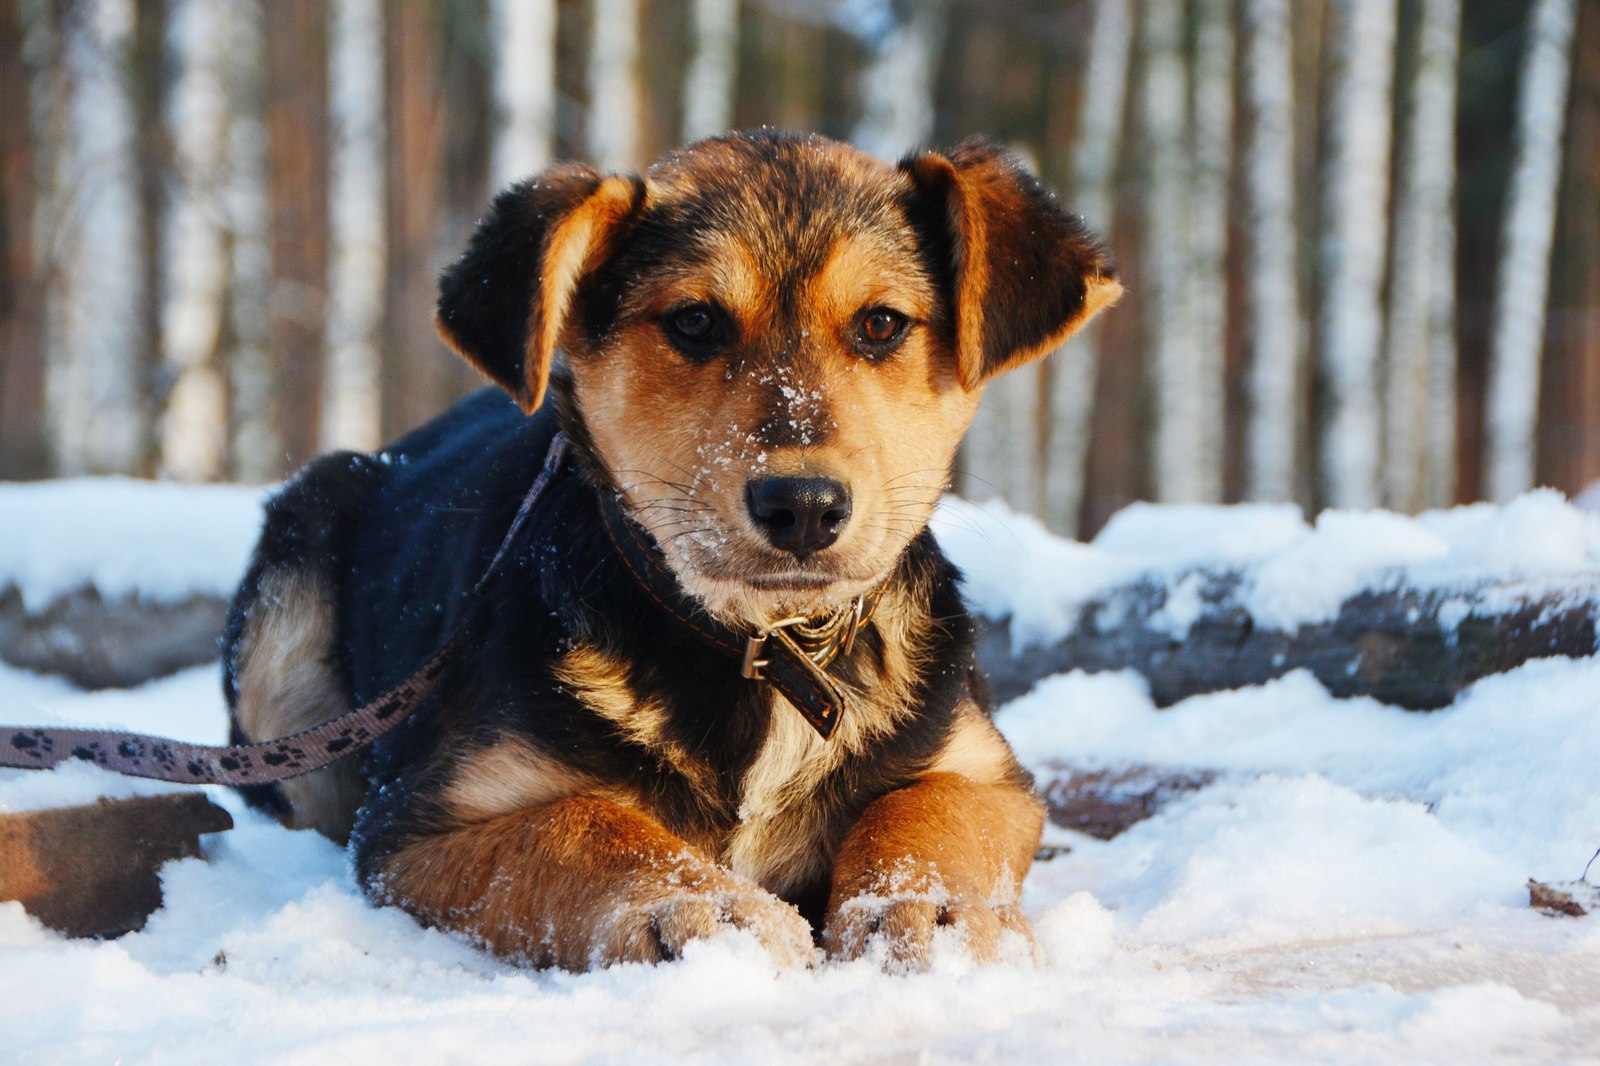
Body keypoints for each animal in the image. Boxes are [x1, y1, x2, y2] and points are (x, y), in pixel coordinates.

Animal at [225, 128, 1120, 966]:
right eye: (694, 321)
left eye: (881, 325)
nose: (803, 506)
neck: (769, 647)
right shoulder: (420, 818)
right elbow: (579, 824)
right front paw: (700, 904)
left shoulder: (983, 767)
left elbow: (930, 808)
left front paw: (925, 906)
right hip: (292, 586)